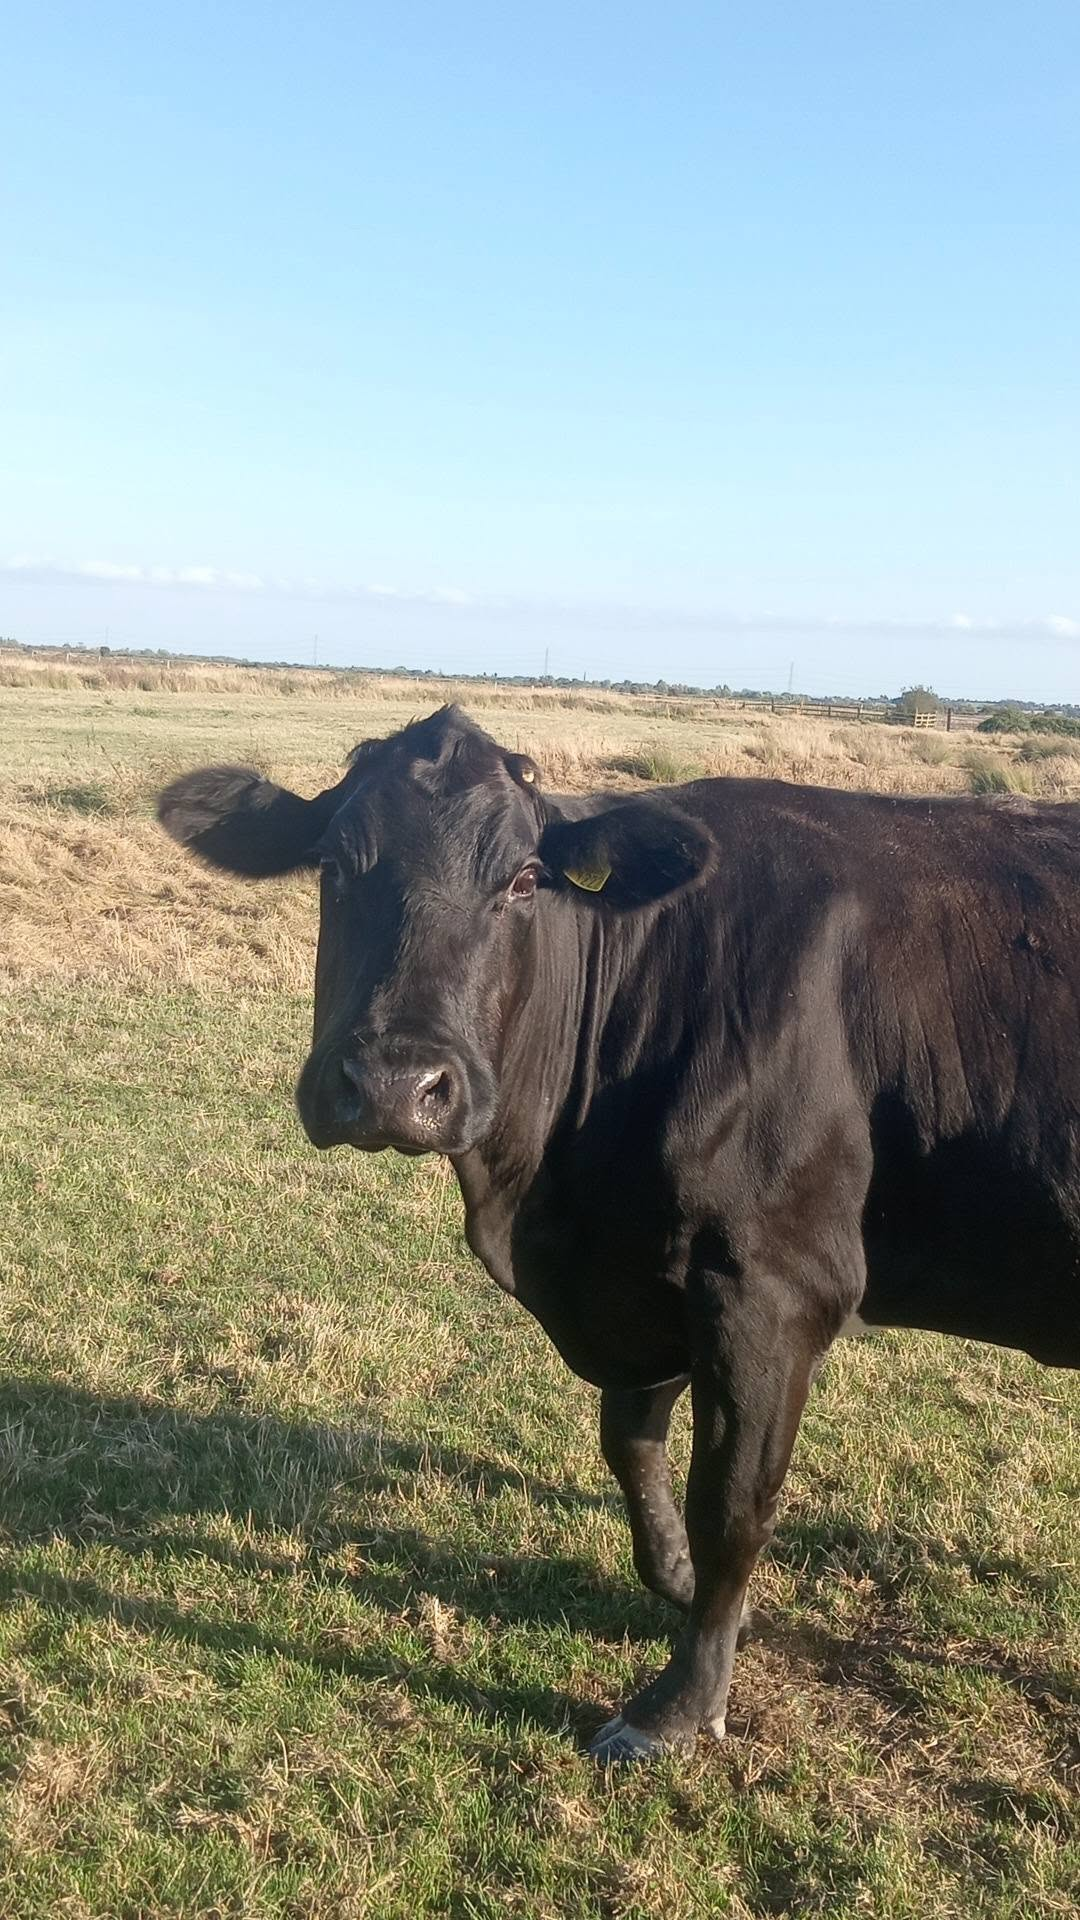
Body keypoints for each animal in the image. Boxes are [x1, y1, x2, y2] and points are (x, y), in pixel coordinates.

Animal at [158, 704, 1080, 1763]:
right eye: (334, 866)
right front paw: (684, 1590)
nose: (395, 1084)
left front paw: (678, 1703)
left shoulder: (768, 1281)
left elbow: (732, 1502)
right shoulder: (648, 1273)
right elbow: (633, 1446)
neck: (550, 1207)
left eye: (524, 878)